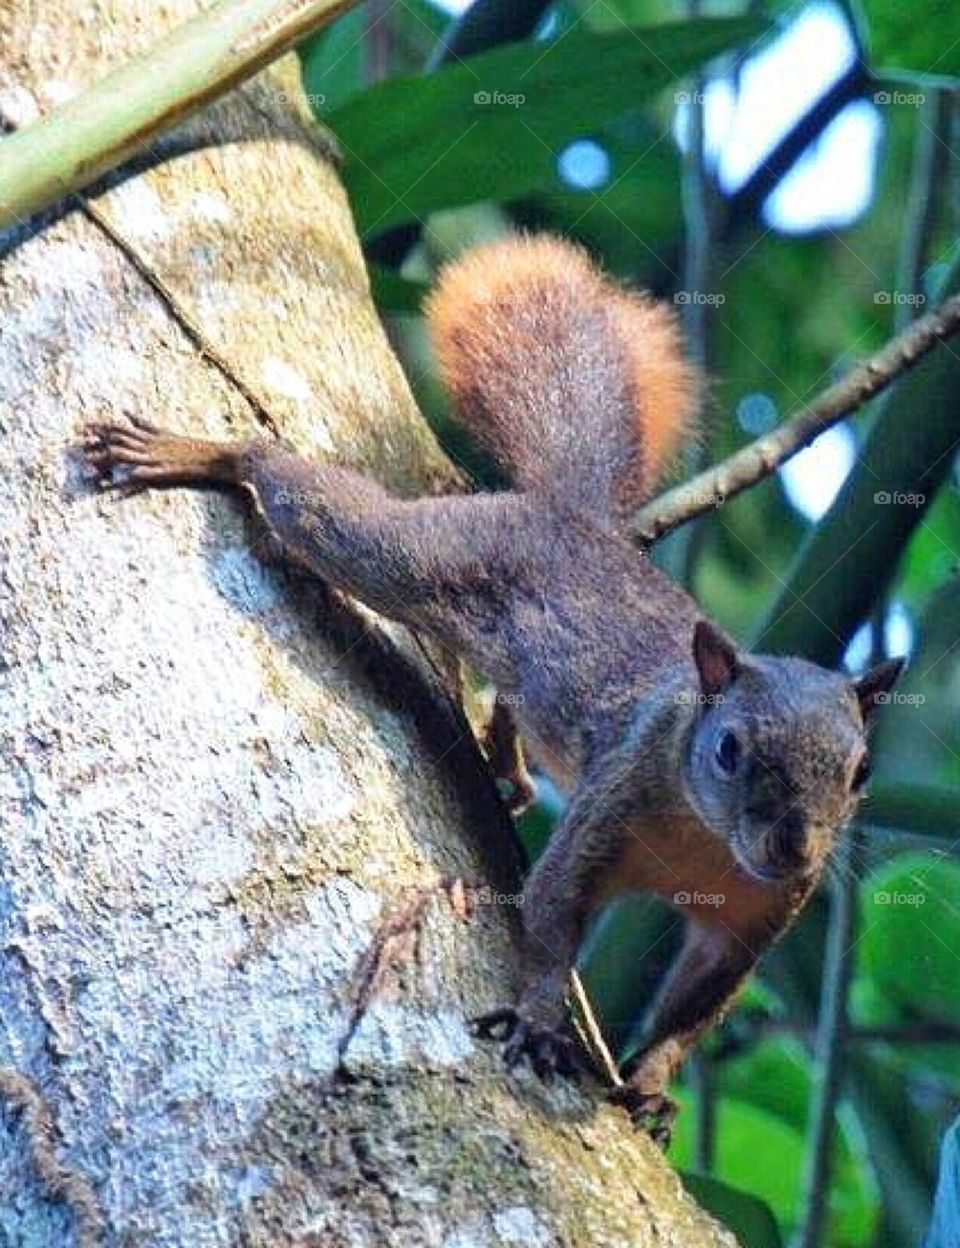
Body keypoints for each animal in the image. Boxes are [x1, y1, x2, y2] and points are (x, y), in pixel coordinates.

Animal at [80, 232, 898, 1143]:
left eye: (860, 772)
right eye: (728, 749)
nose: (795, 845)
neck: (706, 841)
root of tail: (569, 515)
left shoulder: (762, 912)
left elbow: (699, 1008)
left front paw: (652, 1085)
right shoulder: (611, 806)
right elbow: (548, 916)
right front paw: (542, 1020)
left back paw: (507, 765)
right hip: (421, 553)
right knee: (316, 504)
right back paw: (209, 455)